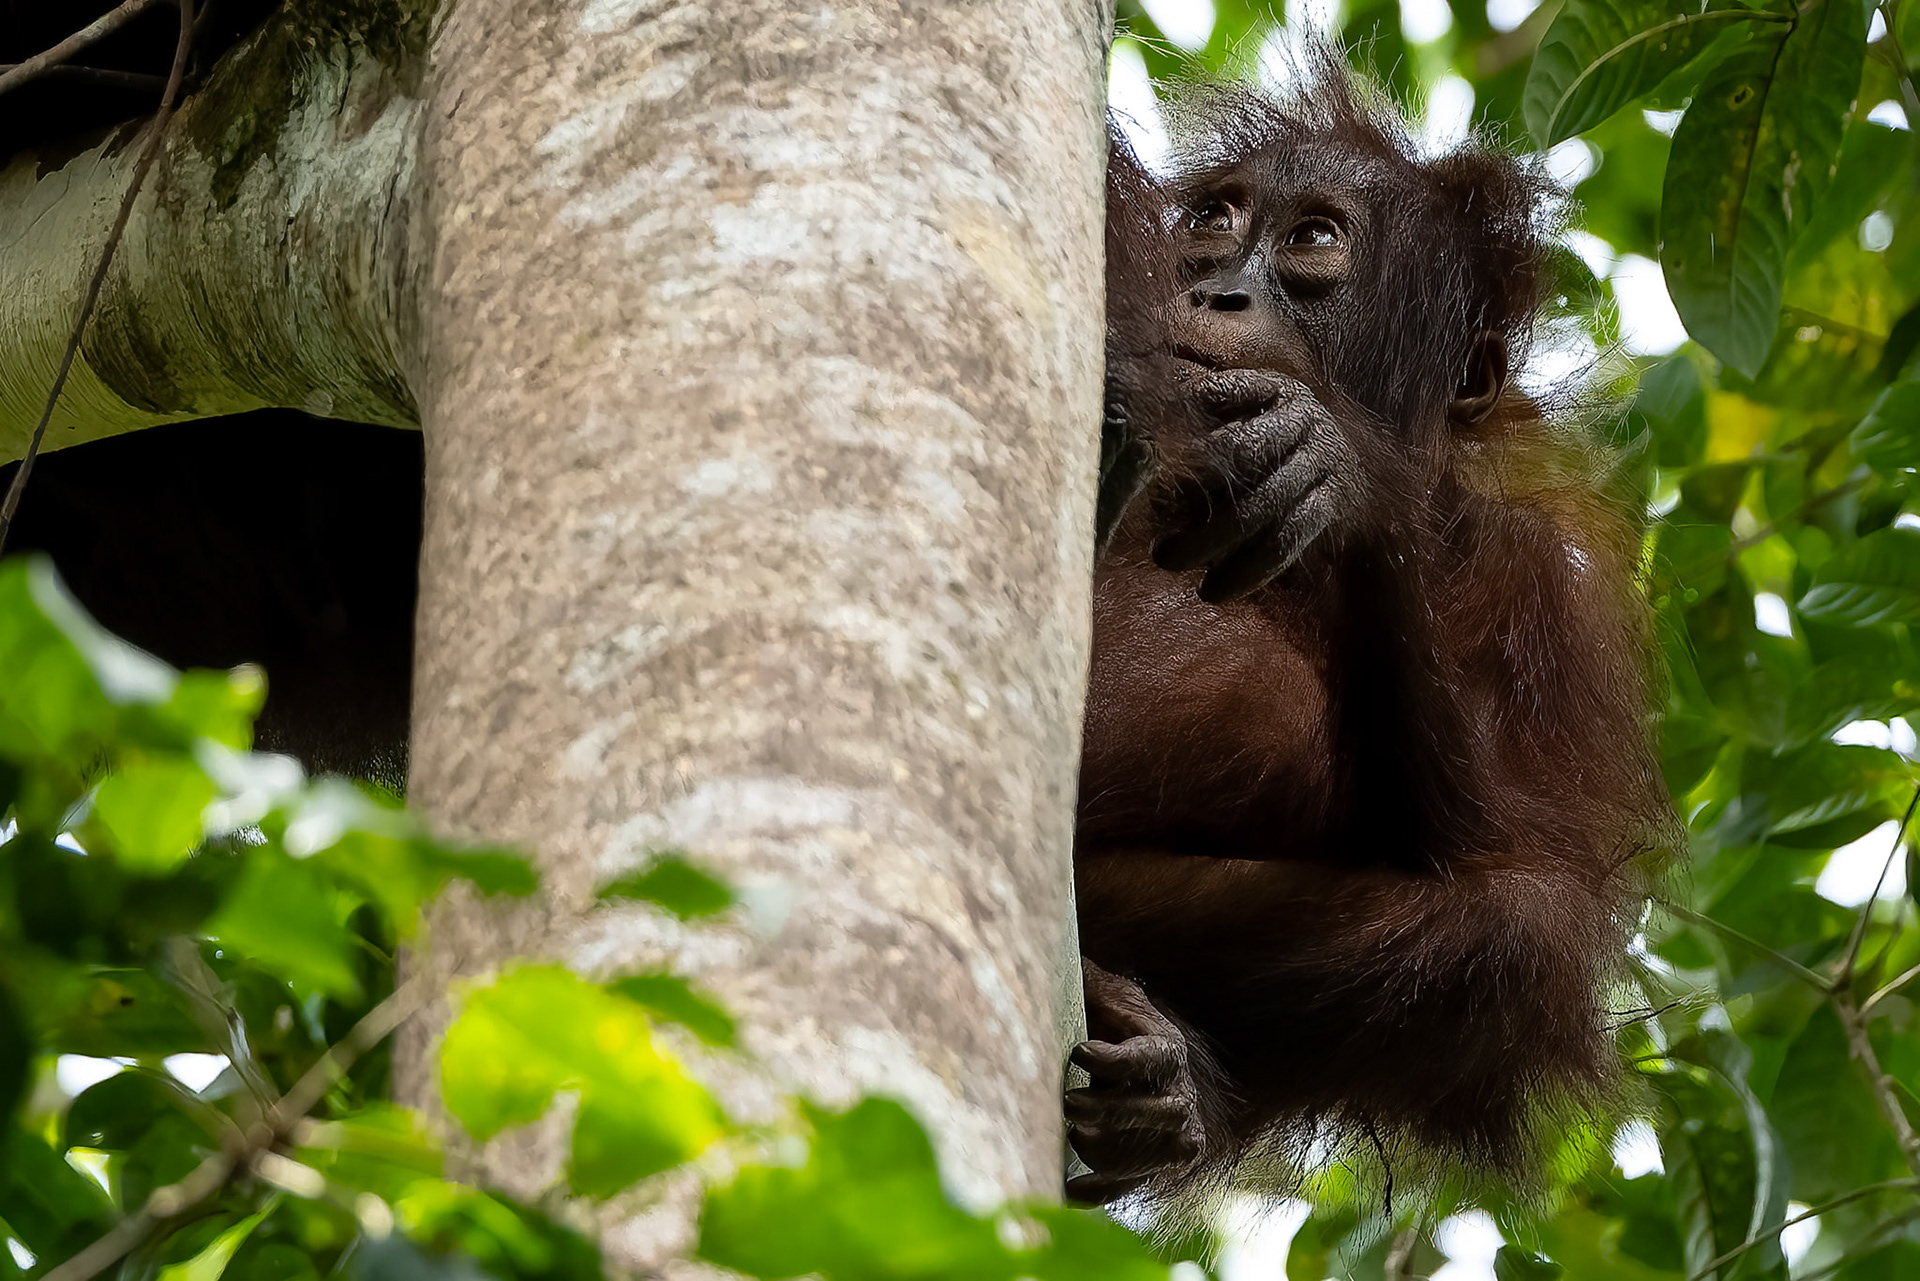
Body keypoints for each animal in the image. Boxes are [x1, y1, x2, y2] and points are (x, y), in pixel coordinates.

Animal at [1065, 57, 1675, 1205]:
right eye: (1214, 223)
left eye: (1314, 240)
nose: (1215, 290)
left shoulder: (1543, 584)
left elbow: (1531, 876)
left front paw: (1341, 472)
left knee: (1515, 935)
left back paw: (1158, 1076)